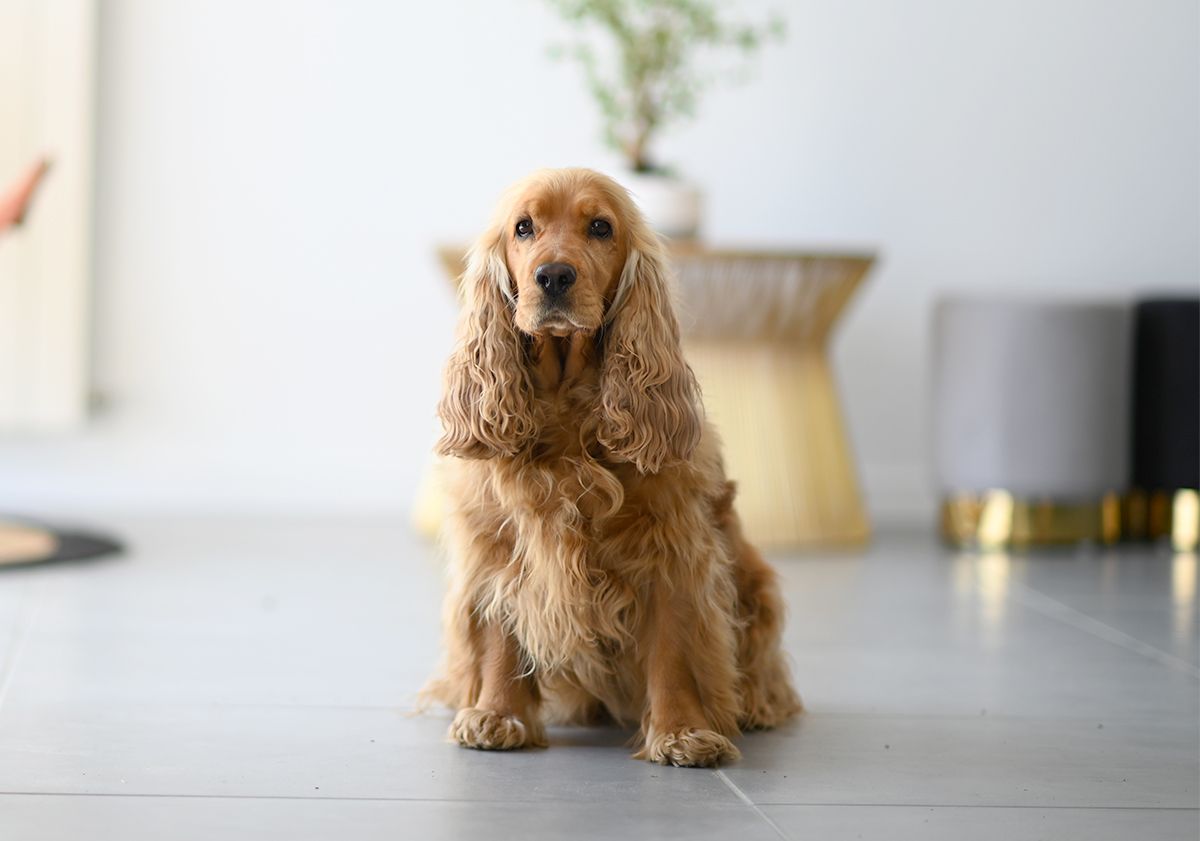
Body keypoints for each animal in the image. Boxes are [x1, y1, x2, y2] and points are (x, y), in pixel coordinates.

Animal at [427, 166, 801, 763]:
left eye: (600, 227)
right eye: (523, 227)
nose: (554, 276)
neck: (565, 403)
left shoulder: (671, 548)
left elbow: (673, 650)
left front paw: (682, 731)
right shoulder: (496, 544)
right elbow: (500, 636)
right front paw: (497, 715)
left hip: (756, 581)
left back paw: (757, 706)